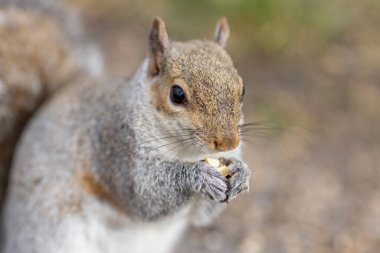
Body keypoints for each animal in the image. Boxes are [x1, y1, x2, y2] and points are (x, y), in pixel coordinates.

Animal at [0, 1, 252, 253]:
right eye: (177, 94)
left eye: (242, 90)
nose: (228, 142)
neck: (185, 152)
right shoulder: (113, 143)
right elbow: (142, 194)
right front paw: (199, 176)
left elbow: (201, 216)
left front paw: (241, 173)